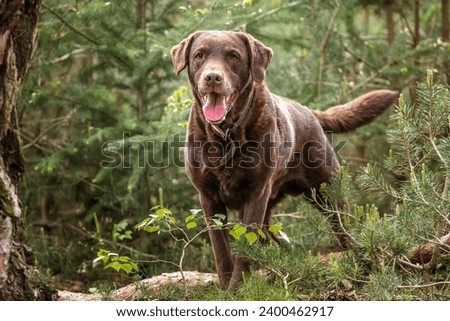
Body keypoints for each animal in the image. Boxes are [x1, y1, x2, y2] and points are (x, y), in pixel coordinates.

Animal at [171, 30, 396, 290]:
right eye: (199, 55)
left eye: (233, 56)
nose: (213, 77)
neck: (227, 134)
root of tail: (308, 111)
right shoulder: (209, 197)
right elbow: (222, 251)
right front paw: (226, 288)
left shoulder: (255, 194)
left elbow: (245, 248)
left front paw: (237, 289)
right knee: (271, 240)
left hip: (326, 192)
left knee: (346, 229)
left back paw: (363, 260)